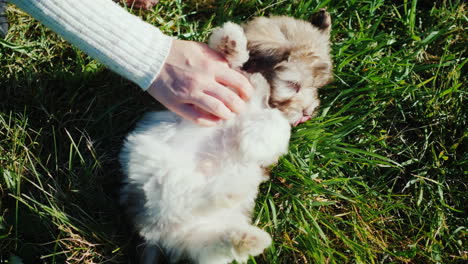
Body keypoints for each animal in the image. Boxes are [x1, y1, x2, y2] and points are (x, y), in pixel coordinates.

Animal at [120, 10, 332, 264]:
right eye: (293, 84)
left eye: (317, 87)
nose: (308, 112)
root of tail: (158, 232)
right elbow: (232, 66)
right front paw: (231, 43)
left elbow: (276, 122)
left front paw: (251, 139)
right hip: (158, 175)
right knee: (184, 200)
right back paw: (232, 195)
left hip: (199, 223)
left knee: (205, 239)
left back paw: (246, 236)